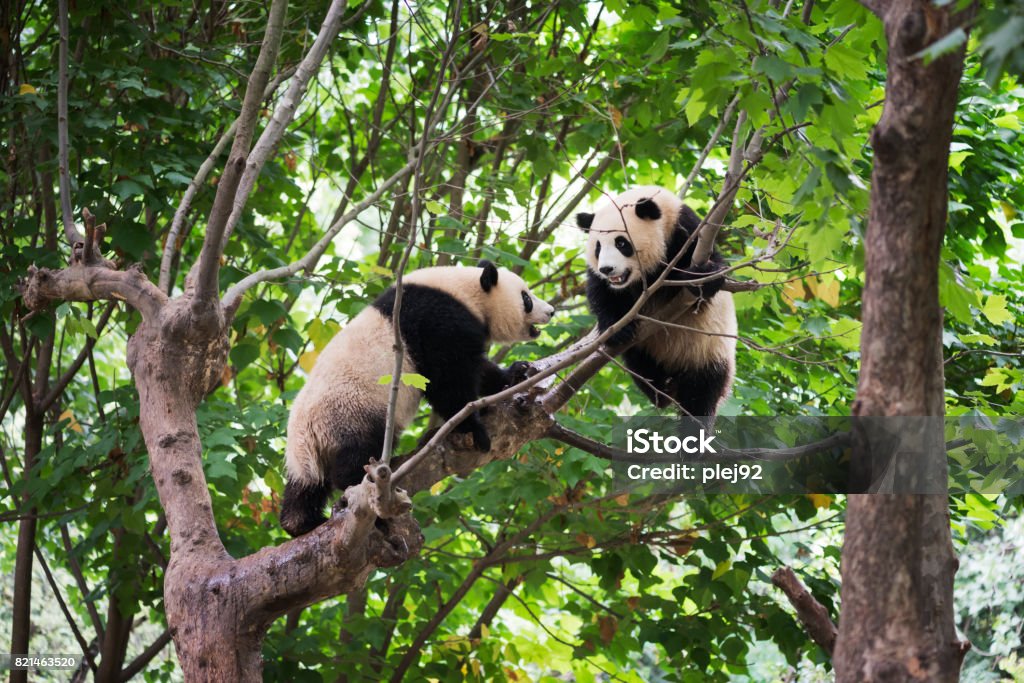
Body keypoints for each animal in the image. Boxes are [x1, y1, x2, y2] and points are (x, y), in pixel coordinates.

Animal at [278, 259, 552, 536]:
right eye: (526, 297)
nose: (550, 311)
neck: (464, 291)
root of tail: (306, 435)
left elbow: (476, 370)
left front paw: (516, 373)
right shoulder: (438, 320)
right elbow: (449, 376)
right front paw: (474, 430)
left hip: (309, 451)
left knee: (306, 485)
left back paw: (300, 523)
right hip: (351, 411)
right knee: (358, 455)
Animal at [577, 187, 737, 421]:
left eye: (621, 243)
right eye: (597, 247)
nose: (607, 269)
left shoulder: (688, 233)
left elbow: (713, 273)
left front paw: (701, 279)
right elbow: (602, 293)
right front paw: (618, 328)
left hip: (710, 353)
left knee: (701, 395)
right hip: (646, 350)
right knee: (639, 362)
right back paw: (661, 390)